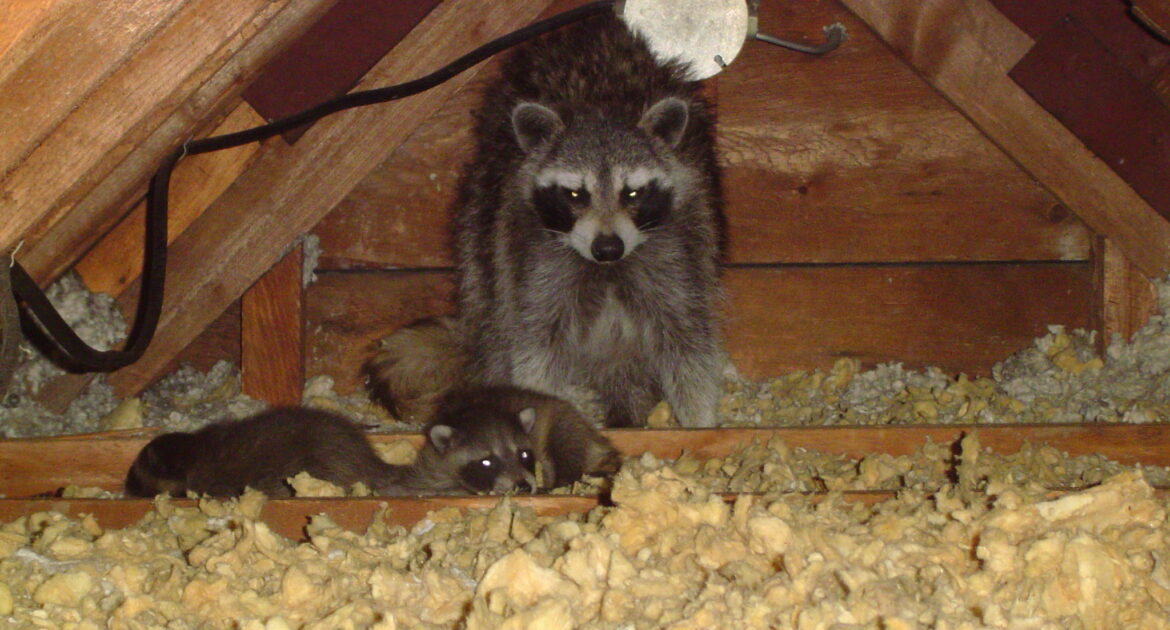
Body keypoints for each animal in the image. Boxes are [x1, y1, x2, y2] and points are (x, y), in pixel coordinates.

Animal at [453, 13, 720, 426]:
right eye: (576, 195)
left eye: (632, 194)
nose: (608, 247)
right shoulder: (530, 254)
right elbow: (535, 343)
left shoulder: (680, 245)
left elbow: (687, 339)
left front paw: (699, 420)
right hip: (481, 229)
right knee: (493, 321)